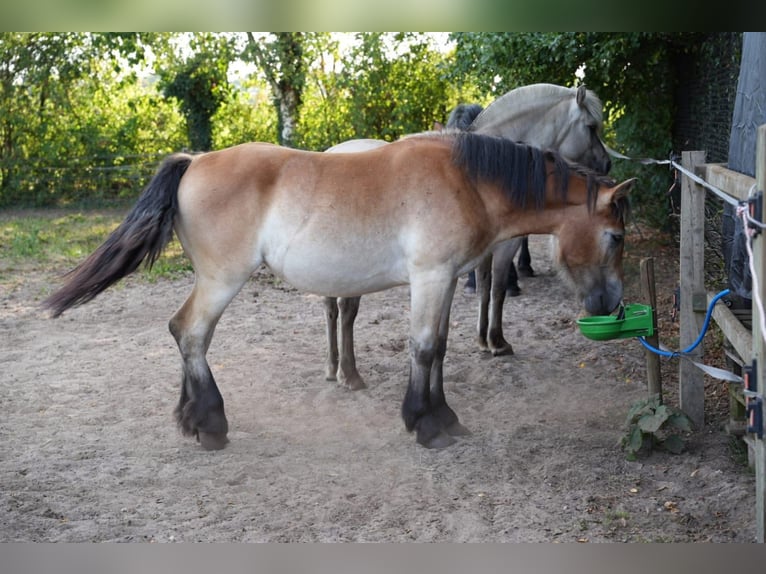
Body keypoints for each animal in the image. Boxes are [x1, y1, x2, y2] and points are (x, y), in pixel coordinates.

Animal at [44, 130, 633, 451]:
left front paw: (444, 417)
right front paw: (425, 424)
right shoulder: (430, 278)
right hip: (221, 280)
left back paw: (191, 420)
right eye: (617, 236)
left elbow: (439, 349)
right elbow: (424, 349)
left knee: (183, 335)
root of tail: (195, 161)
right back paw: (211, 424)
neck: (466, 180)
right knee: (190, 334)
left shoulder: (442, 281)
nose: (611, 305)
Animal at [323, 84, 610, 389]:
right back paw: (349, 374)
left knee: (332, 308)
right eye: (591, 127)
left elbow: (483, 287)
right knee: (346, 309)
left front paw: (483, 339)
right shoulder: (504, 247)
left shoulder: (482, 251)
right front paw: (498, 341)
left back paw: (333, 367)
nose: (607, 163)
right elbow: (497, 290)